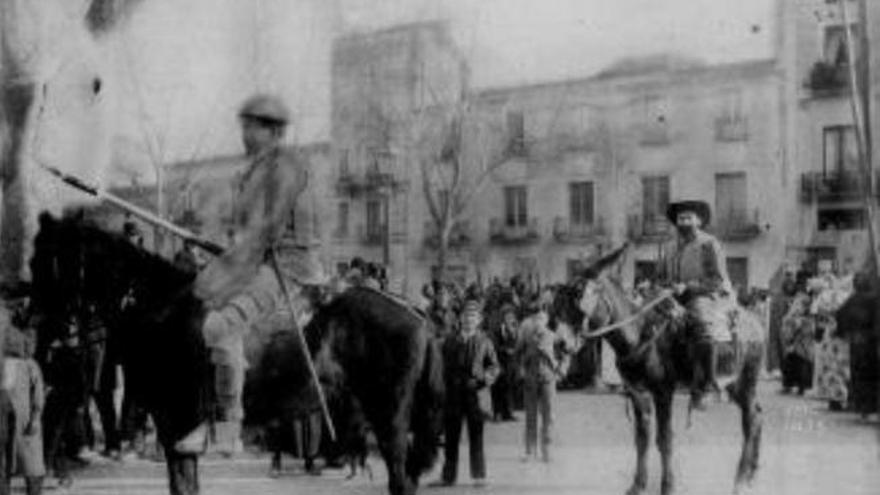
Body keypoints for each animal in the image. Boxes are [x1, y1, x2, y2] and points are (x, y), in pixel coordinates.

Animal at [302, 286, 444, 495]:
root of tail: (425, 330)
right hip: (425, 408)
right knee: (418, 446)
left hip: (393, 406)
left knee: (396, 442)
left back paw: (398, 484)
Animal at [576, 247, 760, 495]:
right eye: (573, 290)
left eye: (592, 290)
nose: (569, 336)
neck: (639, 334)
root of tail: (756, 322)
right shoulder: (638, 393)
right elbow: (642, 440)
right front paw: (638, 484)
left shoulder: (663, 392)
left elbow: (665, 440)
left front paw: (668, 485)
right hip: (734, 386)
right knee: (758, 416)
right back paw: (751, 474)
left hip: (747, 382)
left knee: (750, 421)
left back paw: (740, 480)